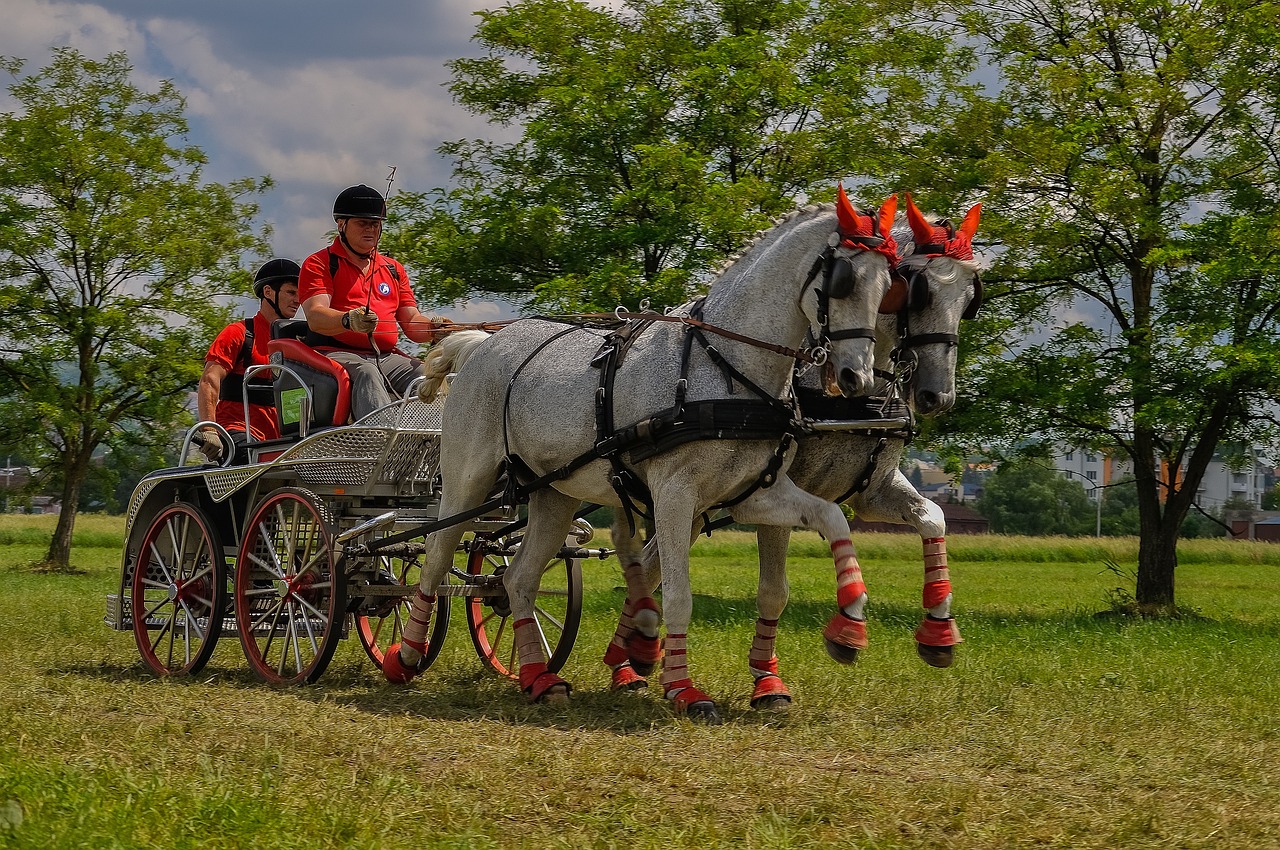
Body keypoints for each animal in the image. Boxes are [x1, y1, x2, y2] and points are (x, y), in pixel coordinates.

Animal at [381, 188, 901, 716]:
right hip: (467, 479)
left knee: (518, 580)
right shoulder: (674, 495)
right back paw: (404, 656)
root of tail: (484, 342)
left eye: (889, 285)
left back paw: (538, 678)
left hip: (554, 493)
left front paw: (850, 627)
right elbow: (677, 595)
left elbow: (831, 519)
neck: (725, 366)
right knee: (436, 555)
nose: (857, 378)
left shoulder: (752, 494)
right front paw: (682, 687)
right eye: (844, 282)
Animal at [604, 195, 983, 706]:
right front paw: (769, 679)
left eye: (969, 298)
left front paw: (939, 632)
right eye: (916, 291)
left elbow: (933, 518)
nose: (936, 396)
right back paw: (627, 660)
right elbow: (773, 590)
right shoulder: (773, 491)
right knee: (648, 564)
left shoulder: (872, 491)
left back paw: (630, 657)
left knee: (649, 566)